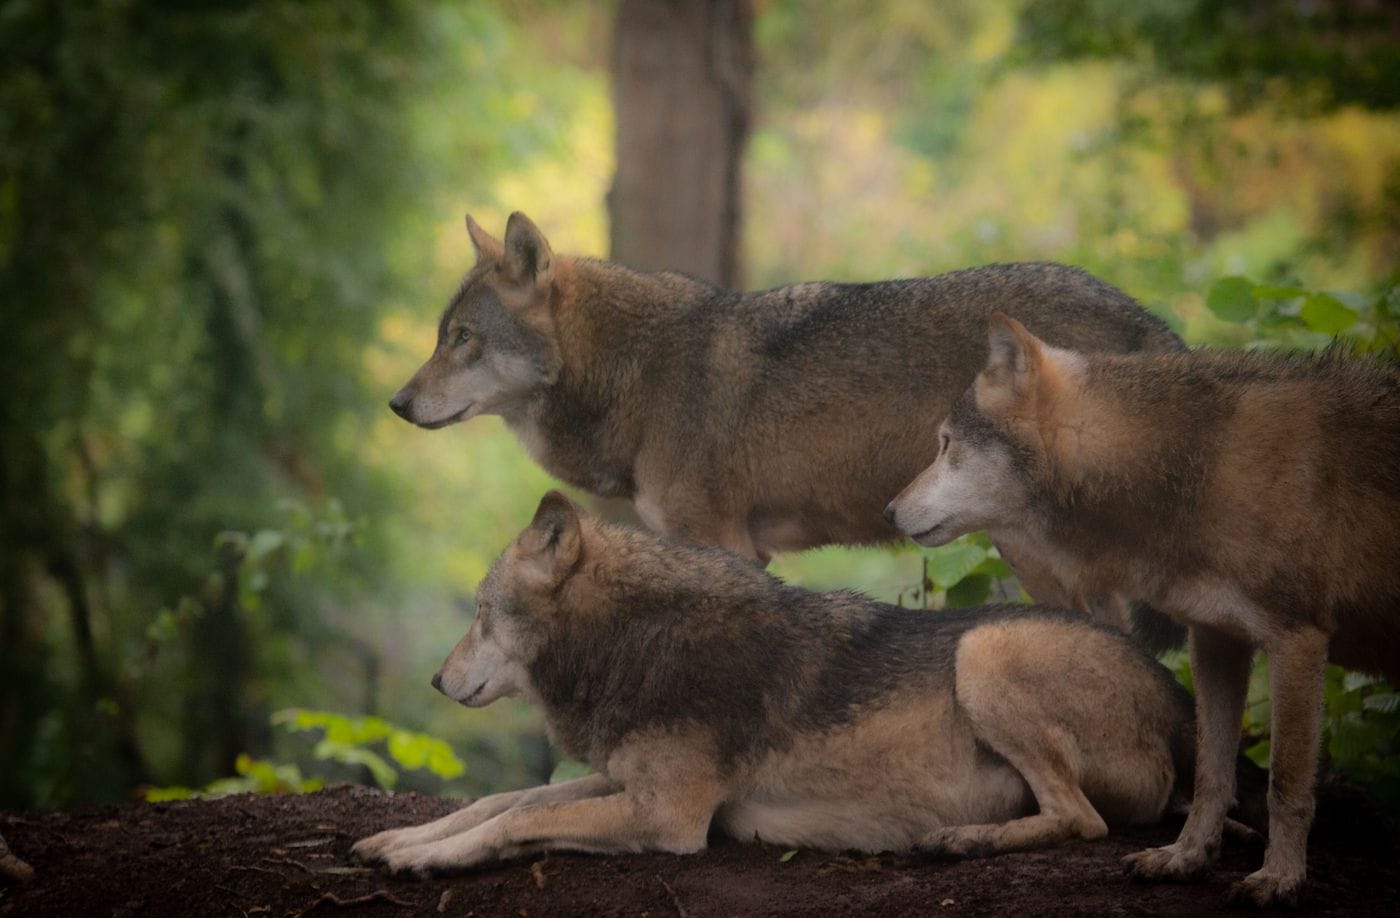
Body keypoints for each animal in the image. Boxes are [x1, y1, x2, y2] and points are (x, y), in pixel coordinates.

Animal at [353, 491, 1195, 876]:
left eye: (480, 612)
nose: (435, 679)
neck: (640, 642)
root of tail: (1178, 701)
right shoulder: (626, 780)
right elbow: (508, 799)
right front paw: (399, 838)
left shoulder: (670, 817)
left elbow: (516, 822)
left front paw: (427, 858)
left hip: (984, 651)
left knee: (1084, 822)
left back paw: (964, 839)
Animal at [388, 212, 1180, 616]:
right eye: (441, 335)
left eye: (463, 339)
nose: (396, 404)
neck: (639, 375)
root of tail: (1147, 319)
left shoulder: (723, 547)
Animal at [885, 314, 1400, 907]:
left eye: (946, 444)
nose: (888, 511)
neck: (1200, 466)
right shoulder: (1216, 639)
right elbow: (1212, 775)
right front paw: (1186, 858)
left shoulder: (1298, 641)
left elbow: (1286, 782)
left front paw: (1279, 879)